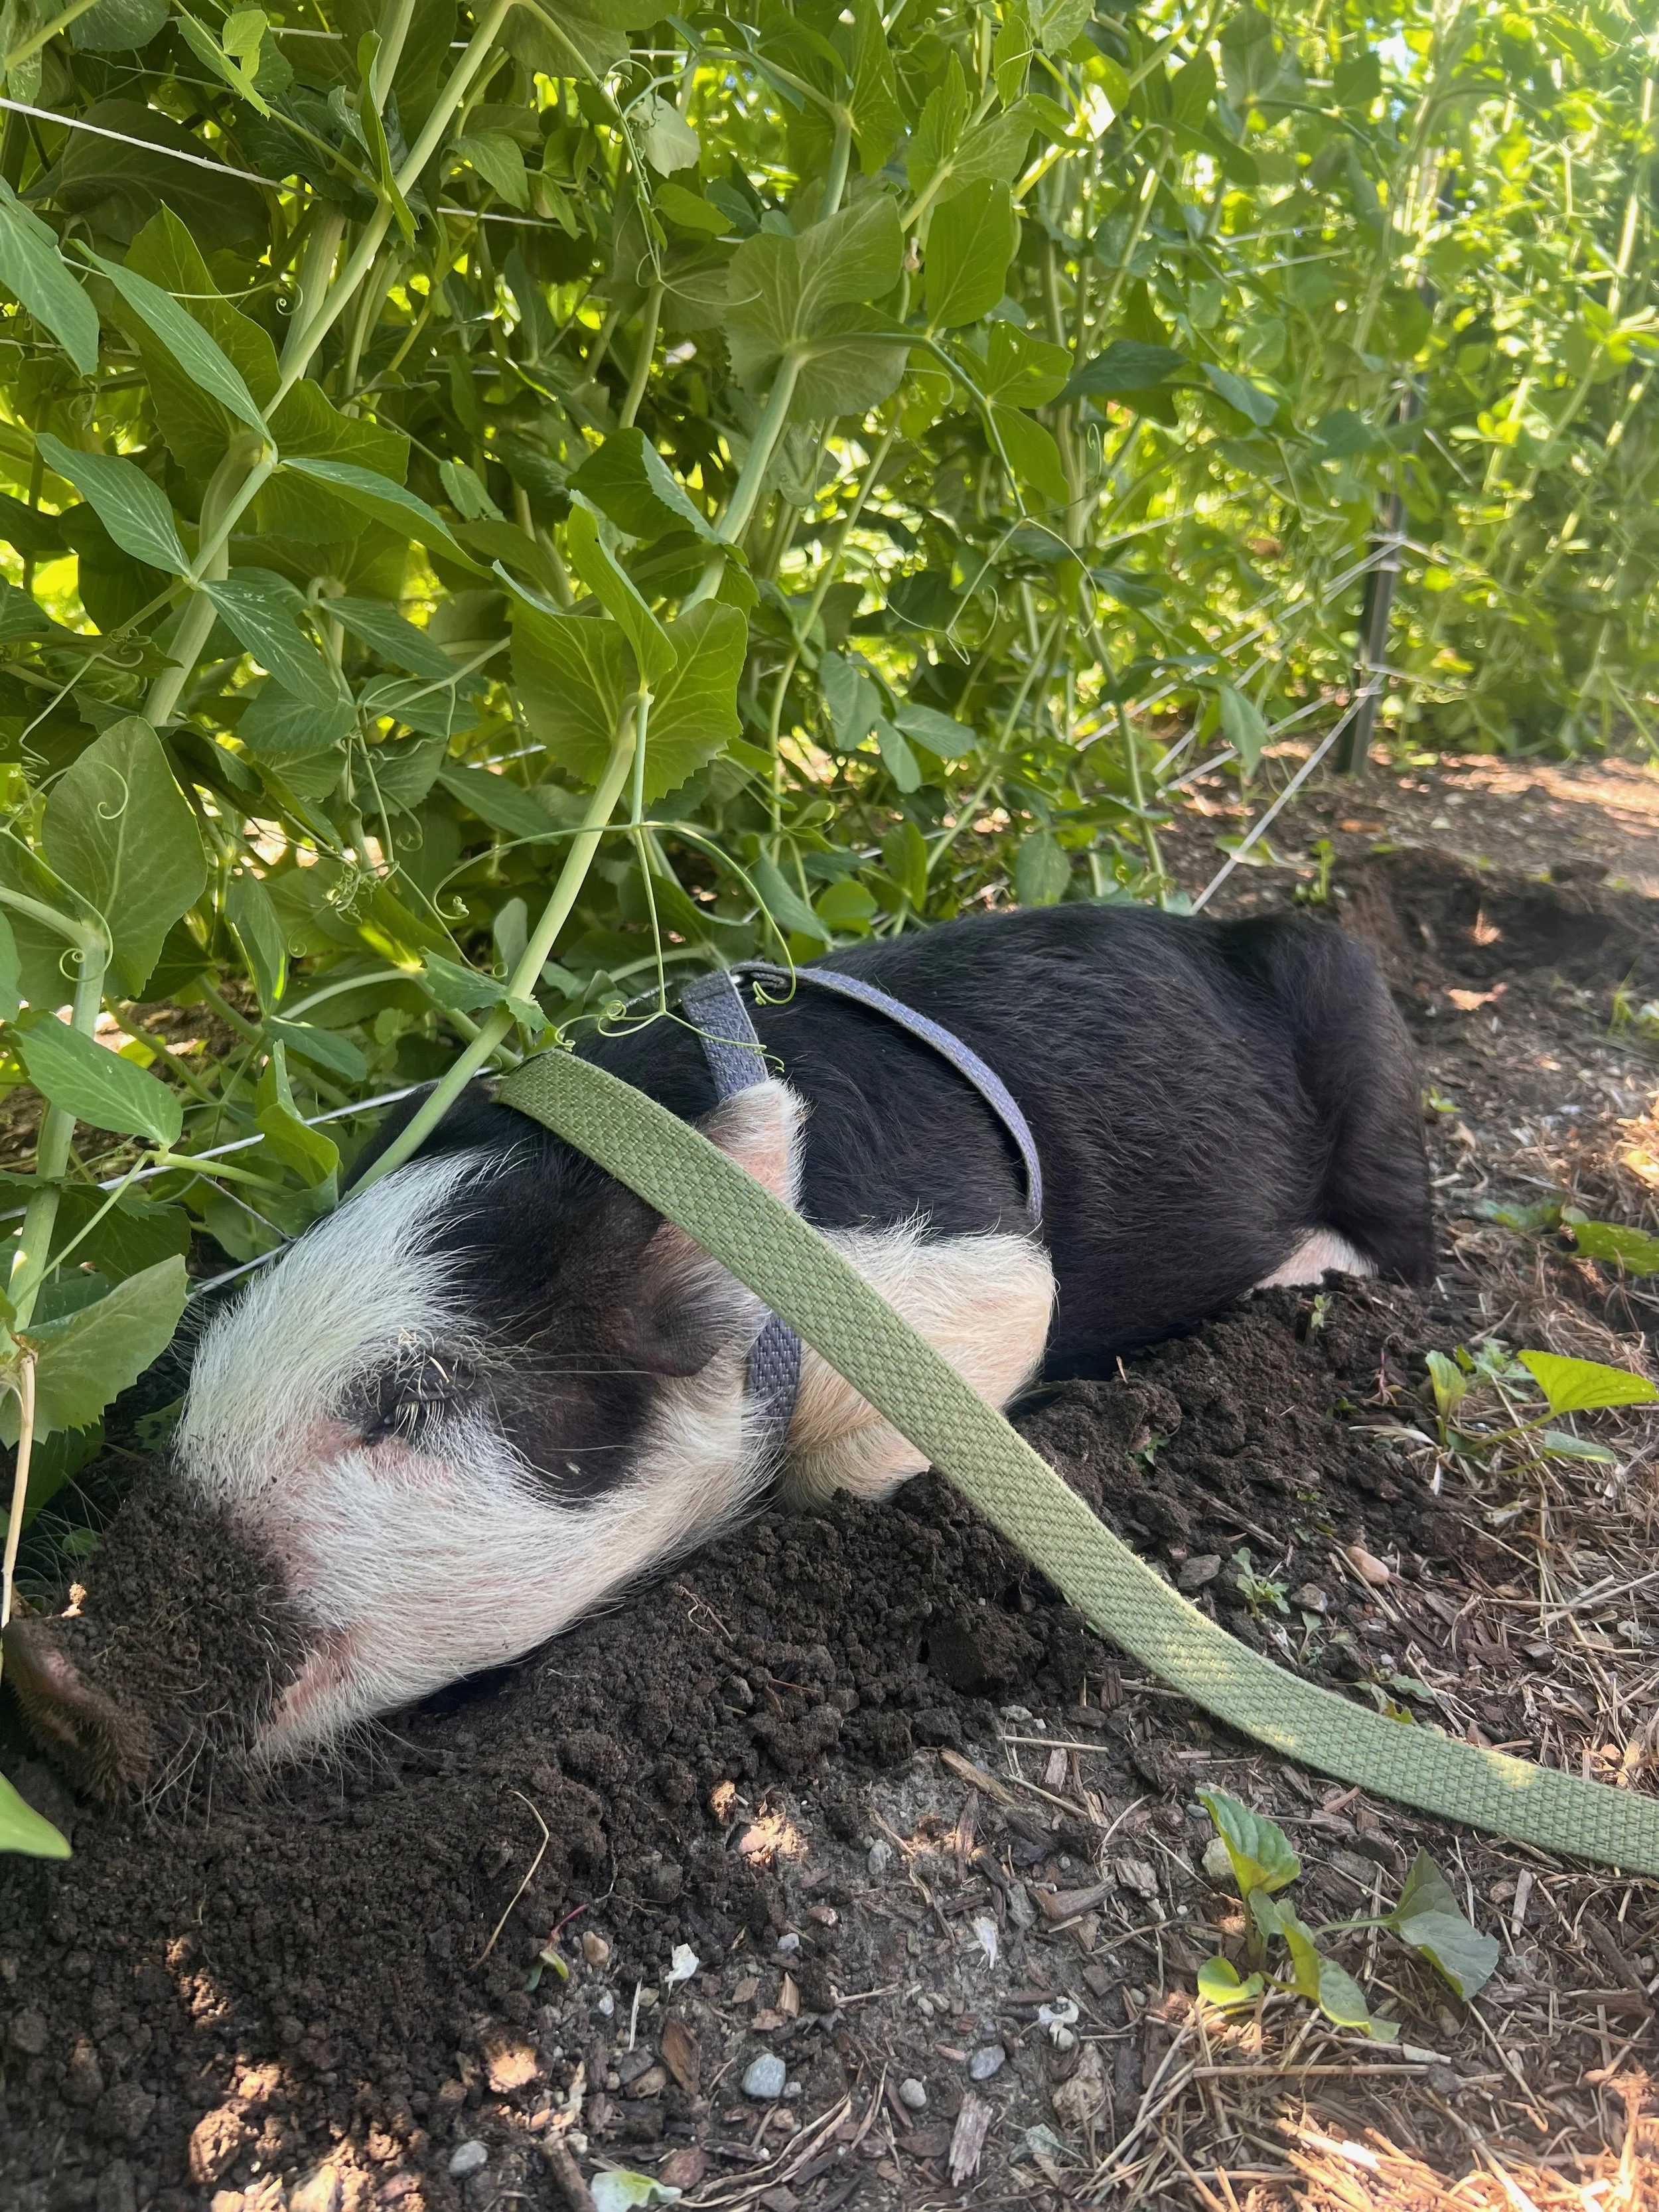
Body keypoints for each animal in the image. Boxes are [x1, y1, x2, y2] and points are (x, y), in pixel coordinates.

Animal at [5, 903, 1431, 1775]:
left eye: (409, 1398)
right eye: (211, 1359)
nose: (46, 1667)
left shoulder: (977, 1281)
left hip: (1372, 1052)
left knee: (1412, 1246)